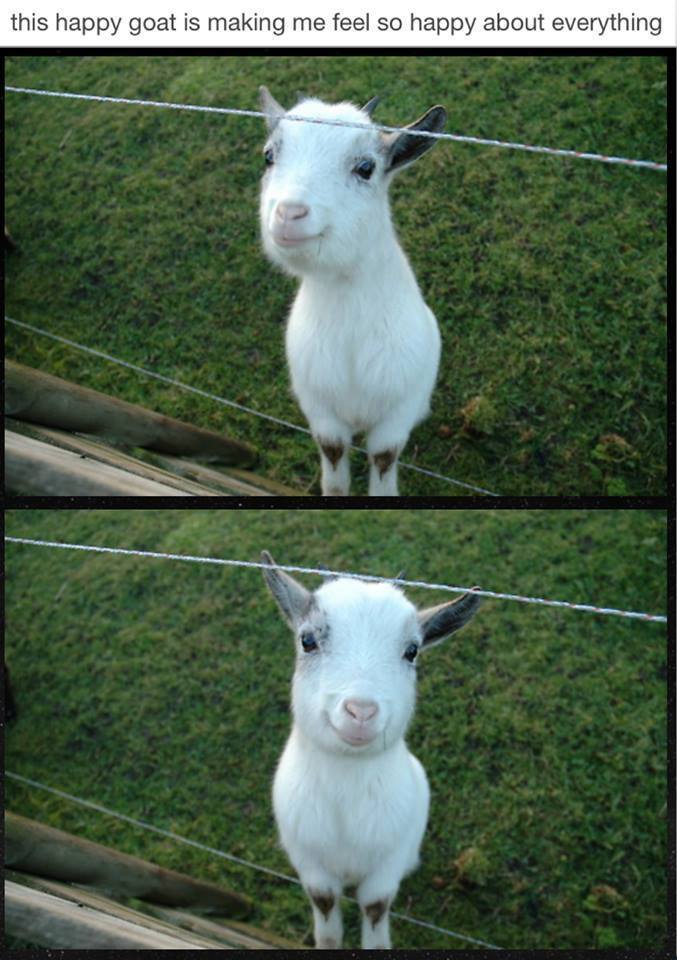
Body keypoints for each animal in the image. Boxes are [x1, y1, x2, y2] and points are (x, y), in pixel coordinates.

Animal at [259, 89, 447, 496]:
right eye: (269, 155)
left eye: (365, 167)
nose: (289, 214)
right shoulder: (319, 407)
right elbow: (332, 454)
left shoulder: (398, 410)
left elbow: (384, 456)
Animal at [261, 551, 482, 948]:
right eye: (307, 640)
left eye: (412, 651)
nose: (361, 711)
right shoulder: (309, 862)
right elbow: (325, 904)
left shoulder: (387, 863)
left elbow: (375, 906)